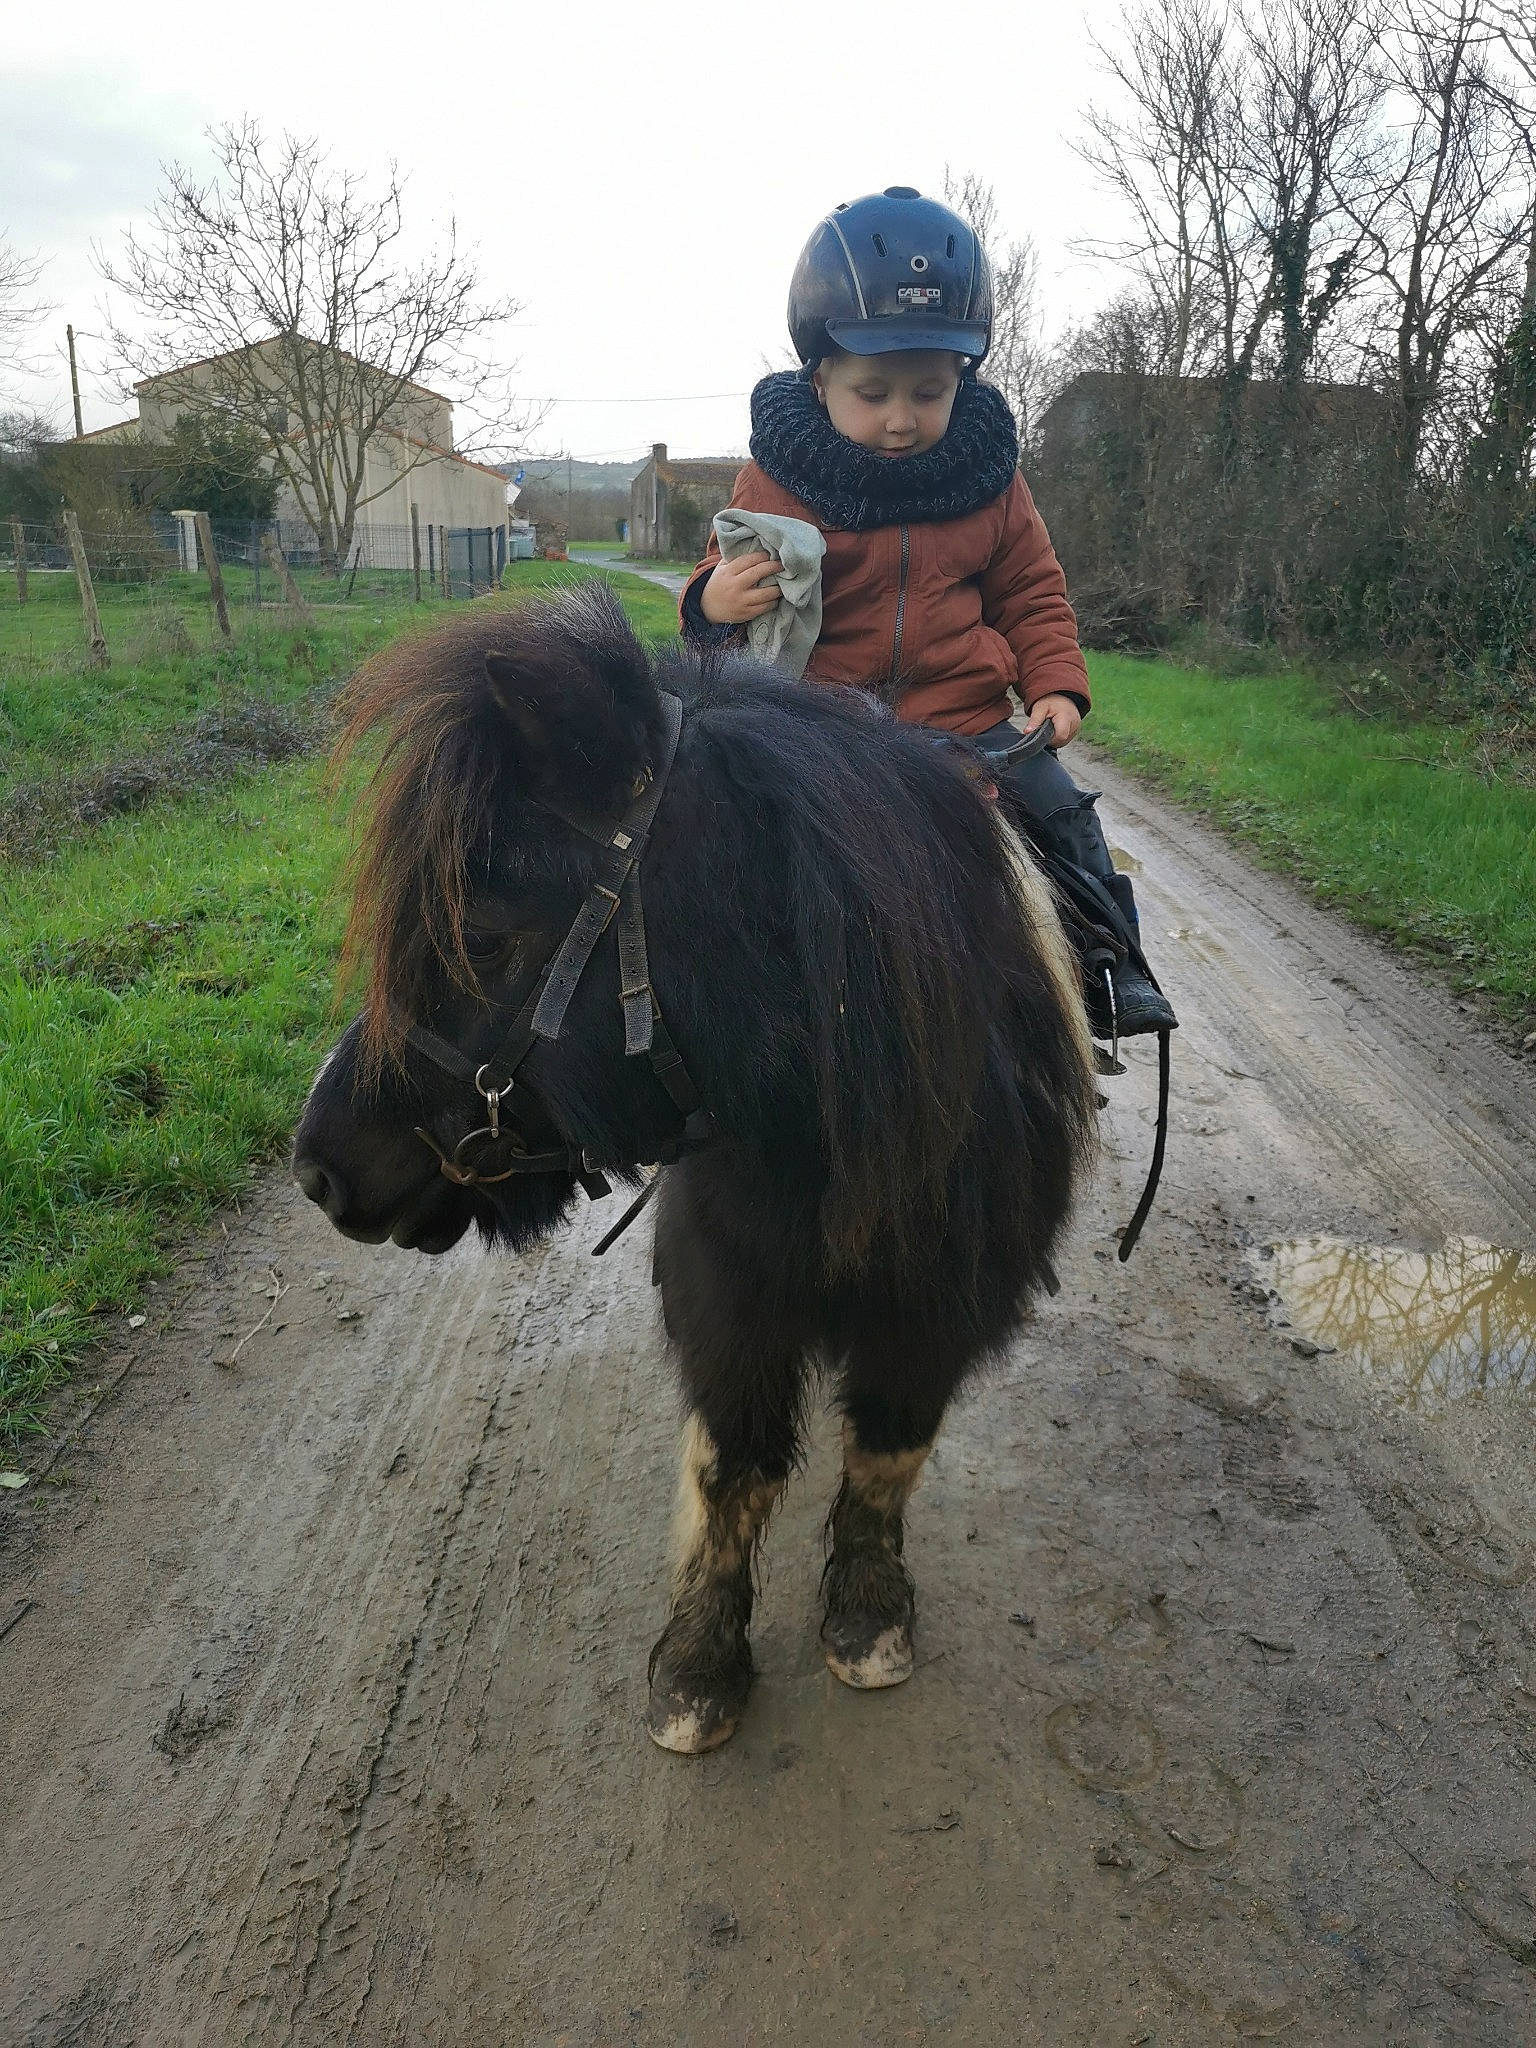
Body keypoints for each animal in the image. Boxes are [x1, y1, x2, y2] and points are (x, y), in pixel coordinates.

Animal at [292, 584, 1097, 1754]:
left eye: (482, 934)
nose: (318, 1166)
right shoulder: (731, 1299)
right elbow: (736, 1470)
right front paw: (700, 1661)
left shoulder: (939, 1307)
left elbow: (886, 1453)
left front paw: (868, 1610)